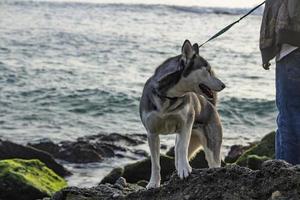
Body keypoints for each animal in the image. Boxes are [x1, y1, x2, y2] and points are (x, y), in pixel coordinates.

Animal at [139, 39, 226, 188]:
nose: (223, 85)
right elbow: (155, 163)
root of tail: (211, 105)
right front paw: (153, 183)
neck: (169, 97)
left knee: (209, 160)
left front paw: (184, 169)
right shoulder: (152, 133)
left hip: (211, 145)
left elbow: (182, 149)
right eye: (208, 70)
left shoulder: (186, 124)